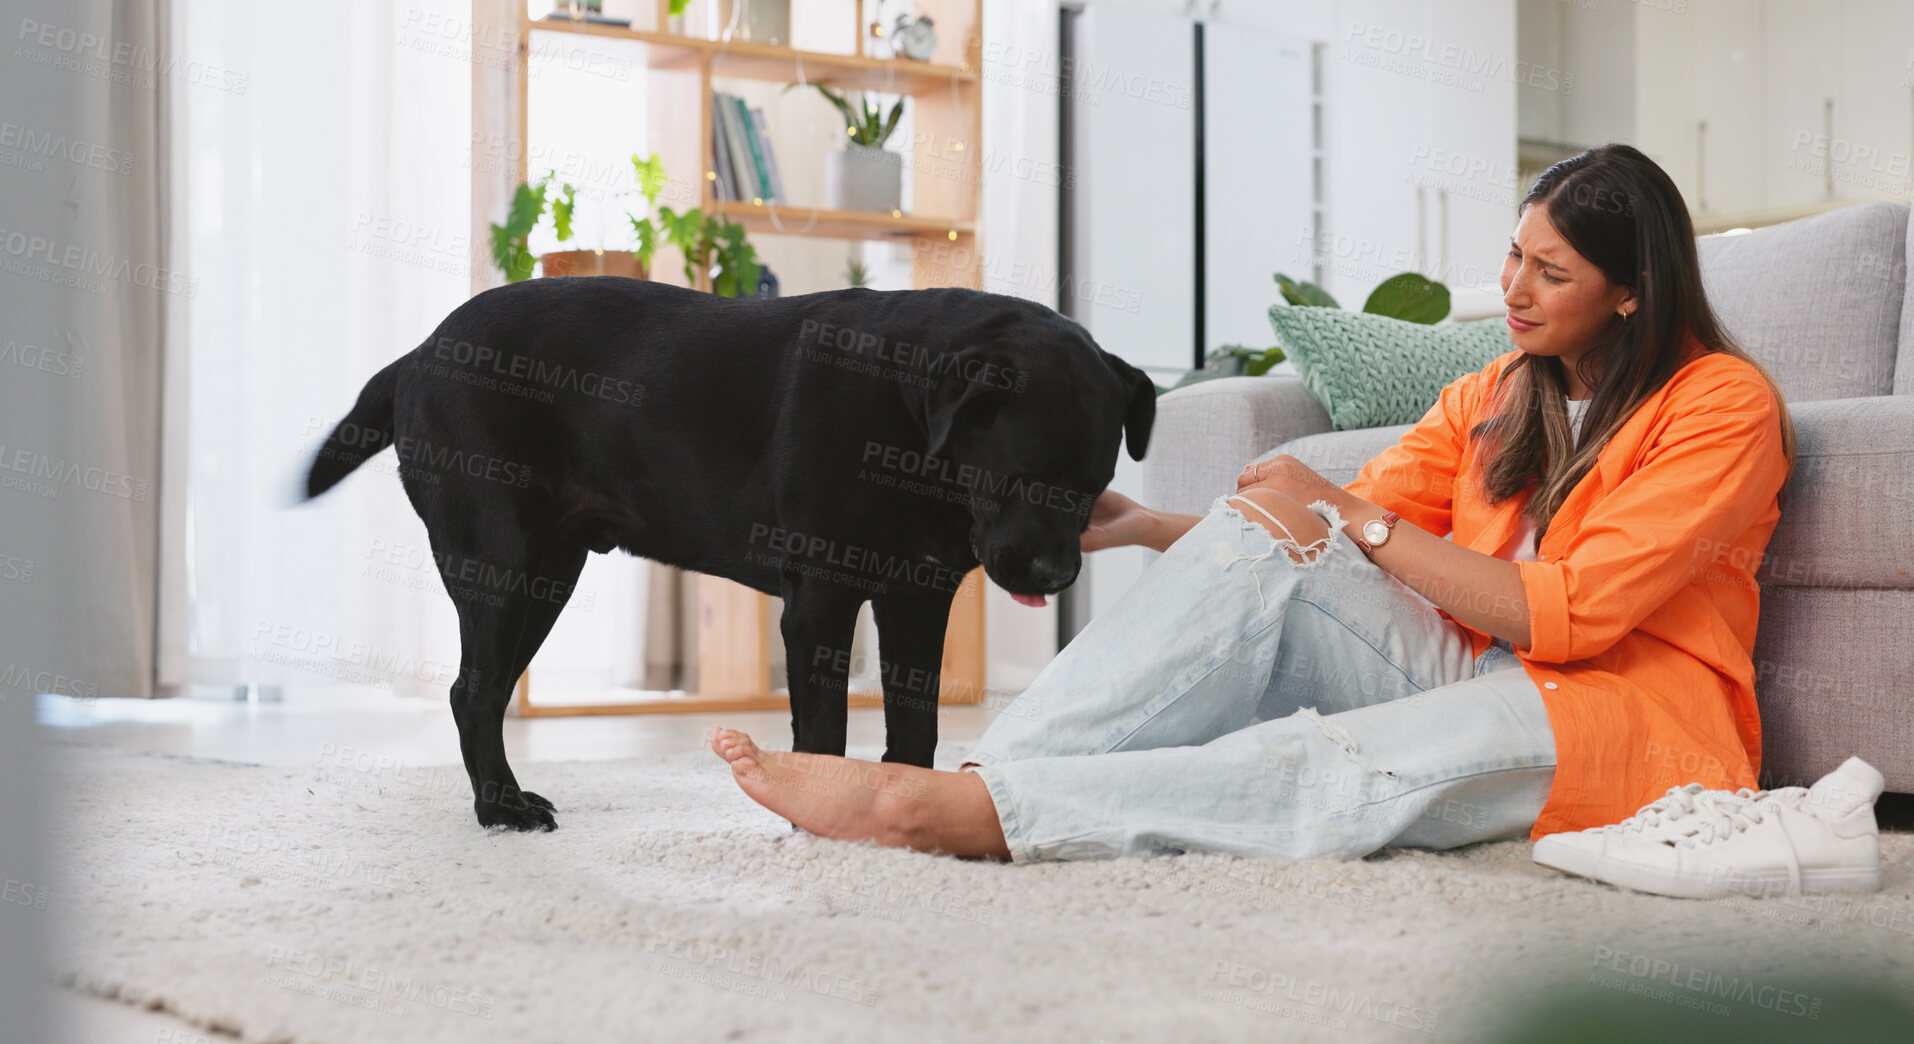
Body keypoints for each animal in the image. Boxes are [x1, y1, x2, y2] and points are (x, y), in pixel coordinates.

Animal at [302, 275, 1148, 831]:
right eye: (1019, 479)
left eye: (1095, 485)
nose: (1056, 575)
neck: (908, 420)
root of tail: (418, 353)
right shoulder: (820, 601)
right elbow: (825, 732)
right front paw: (820, 814)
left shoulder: (916, 599)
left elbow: (917, 727)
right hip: (500, 561)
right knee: (473, 692)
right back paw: (499, 808)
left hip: (547, 576)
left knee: (478, 689)